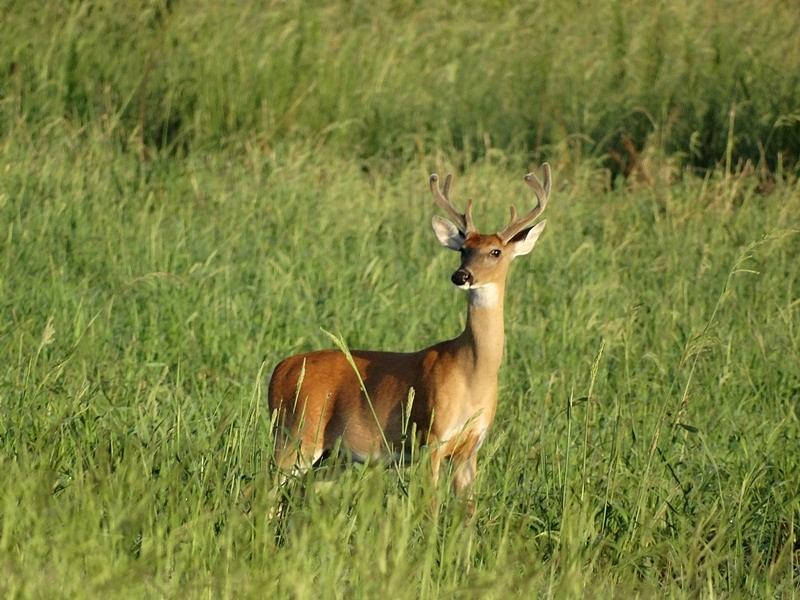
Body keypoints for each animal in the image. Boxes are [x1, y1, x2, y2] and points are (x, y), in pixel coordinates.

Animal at [268, 163, 552, 506]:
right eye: (463, 250)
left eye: (496, 251)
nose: (461, 276)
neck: (472, 373)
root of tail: (280, 370)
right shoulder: (431, 438)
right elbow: (429, 507)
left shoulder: (470, 449)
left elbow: (467, 511)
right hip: (296, 433)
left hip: (331, 456)